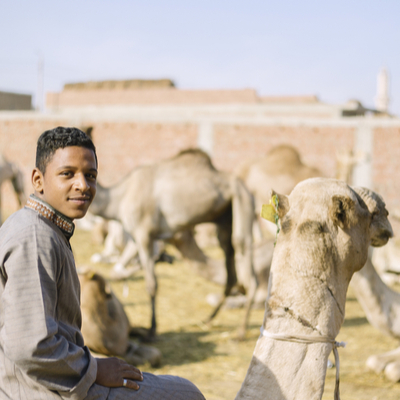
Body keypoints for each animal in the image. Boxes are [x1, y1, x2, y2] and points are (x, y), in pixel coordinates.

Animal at [88, 149, 255, 338]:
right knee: (230, 266)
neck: (119, 197)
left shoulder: (143, 233)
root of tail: (247, 190)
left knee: (243, 253)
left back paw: (241, 331)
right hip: (225, 218)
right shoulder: (145, 237)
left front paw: (152, 329)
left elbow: (151, 283)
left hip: (243, 203)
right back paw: (208, 319)